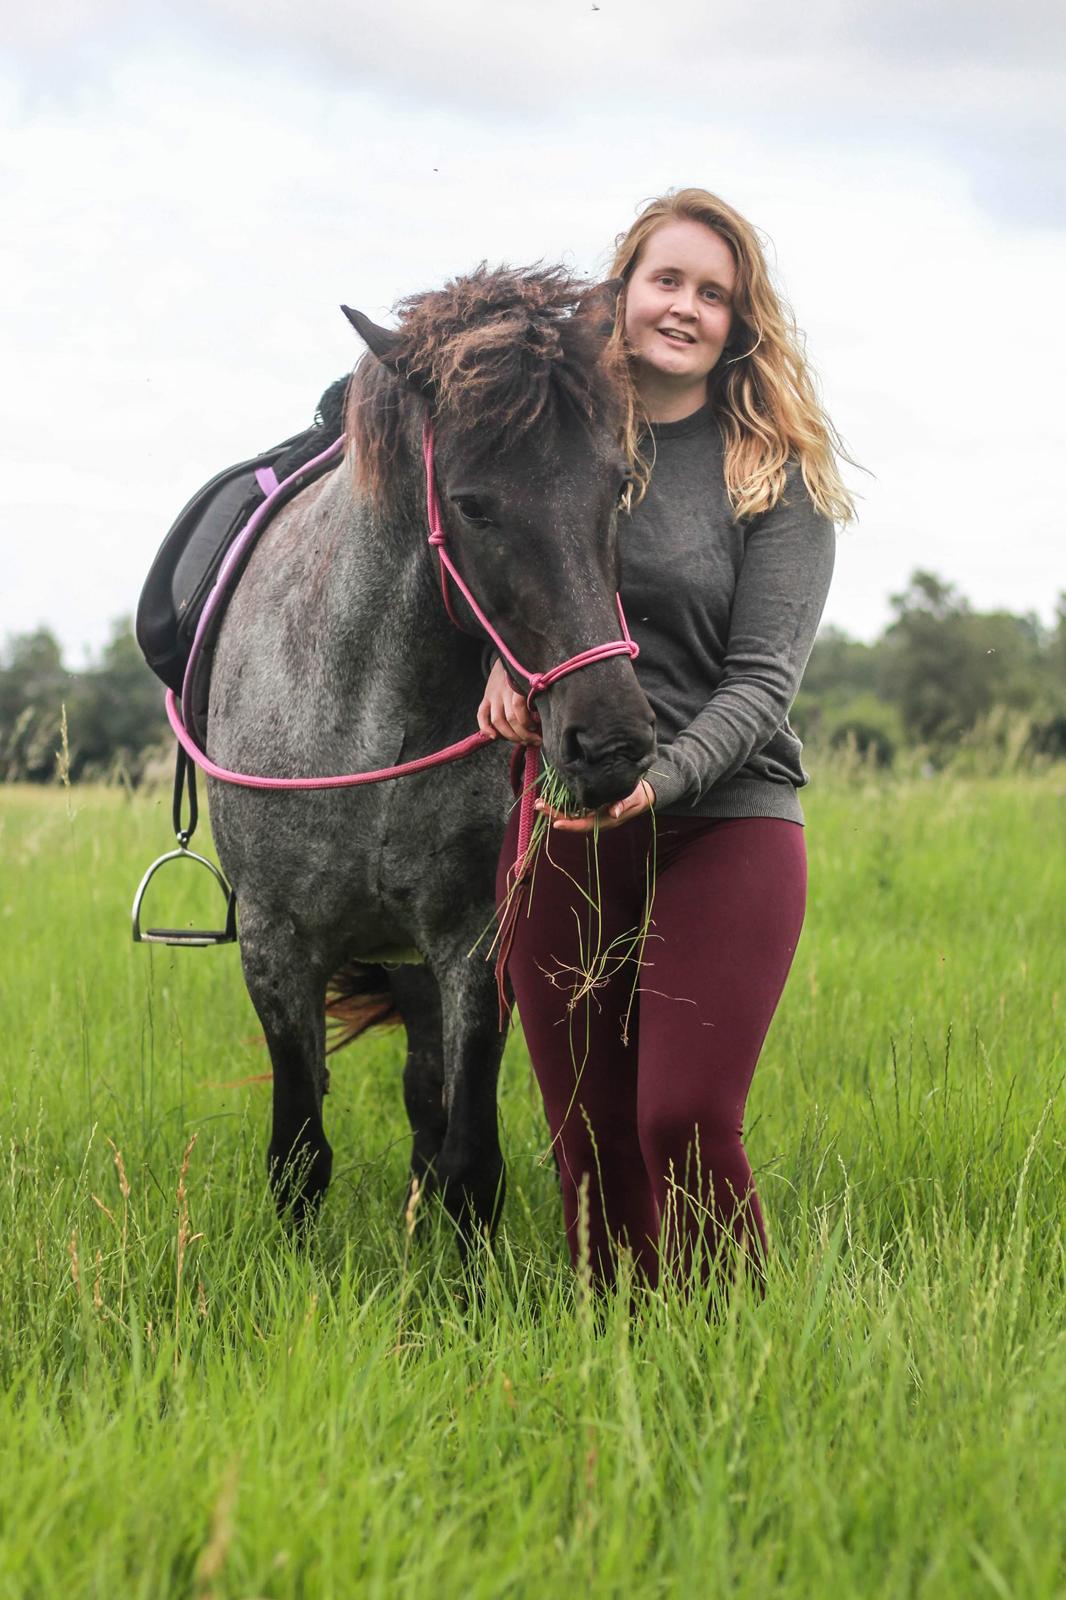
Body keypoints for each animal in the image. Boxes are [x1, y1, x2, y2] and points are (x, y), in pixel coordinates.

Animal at [204, 265, 656, 1248]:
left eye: (617, 489)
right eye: (474, 503)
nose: (611, 743)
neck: (372, 722)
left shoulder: (471, 946)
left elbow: (469, 1159)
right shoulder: (274, 946)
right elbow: (300, 1154)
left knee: (428, 1098)